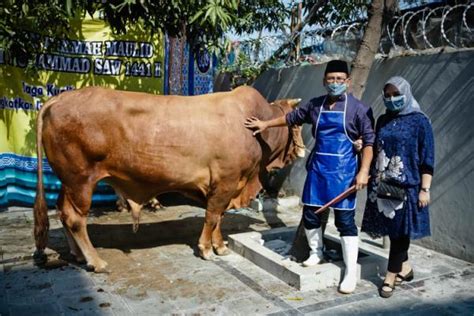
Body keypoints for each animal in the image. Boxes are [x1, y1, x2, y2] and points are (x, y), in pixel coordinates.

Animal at [33, 86, 304, 272]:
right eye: (298, 123)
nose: (302, 150)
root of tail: (60, 97)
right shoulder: (225, 182)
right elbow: (212, 216)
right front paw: (206, 249)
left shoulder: (227, 186)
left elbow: (220, 218)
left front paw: (221, 246)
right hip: (81, 179)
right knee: (75, 217)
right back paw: (96, 261)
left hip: (67, 181)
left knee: (62, 211)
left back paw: (78, 255)